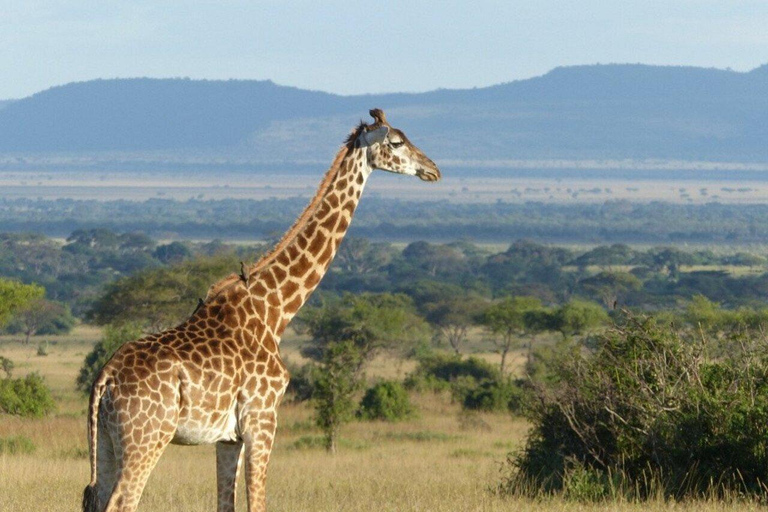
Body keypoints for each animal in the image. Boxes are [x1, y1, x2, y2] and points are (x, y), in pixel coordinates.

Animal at [81, 109, 440, 512]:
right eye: (396, 141)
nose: (433, 169)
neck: (276, 311)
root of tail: (105, 378)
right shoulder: (263, 418)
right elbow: (257, 502)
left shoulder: (228, 436)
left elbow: (227, 504)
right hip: (147, 436)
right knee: (122, 501)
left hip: (107, 440)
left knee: (96, 497)